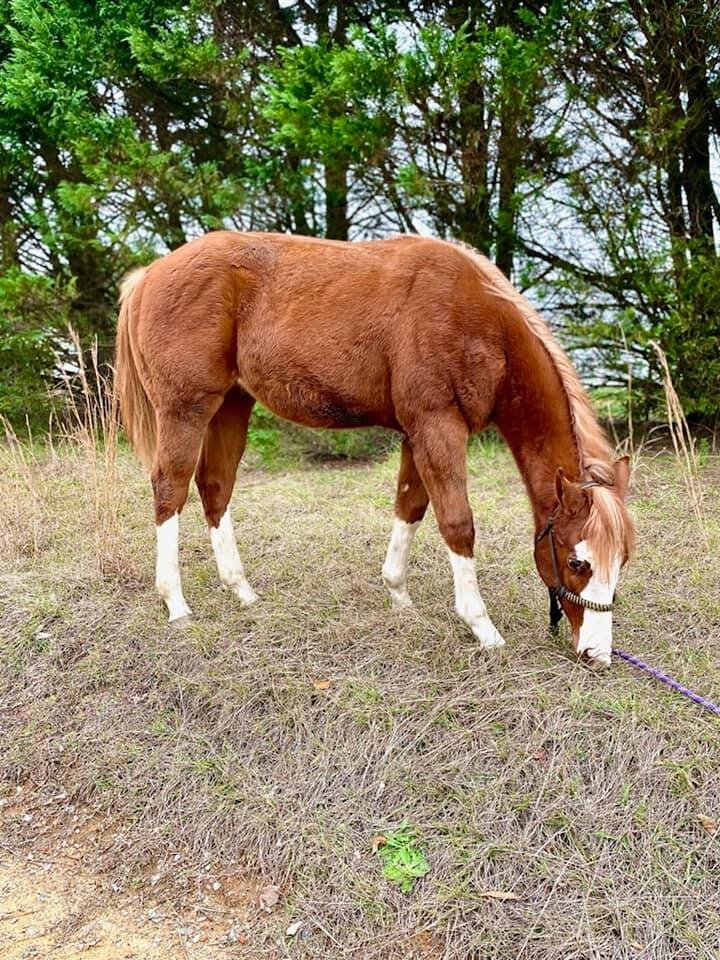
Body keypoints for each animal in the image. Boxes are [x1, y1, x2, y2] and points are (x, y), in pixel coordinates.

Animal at [115, 231, 634, 667]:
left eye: (622, 560)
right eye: (577, 561)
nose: (597, 654)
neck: (479, 319)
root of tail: (151, 274)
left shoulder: (417, 434)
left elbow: (410, 507)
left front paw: (399, 595)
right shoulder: (438, 426)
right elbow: (457, 523)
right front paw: (482, 627)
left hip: (232, 405)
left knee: (215, 488)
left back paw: (241, 591)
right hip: (186, 409)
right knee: (170, 489)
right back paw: (176, 603)